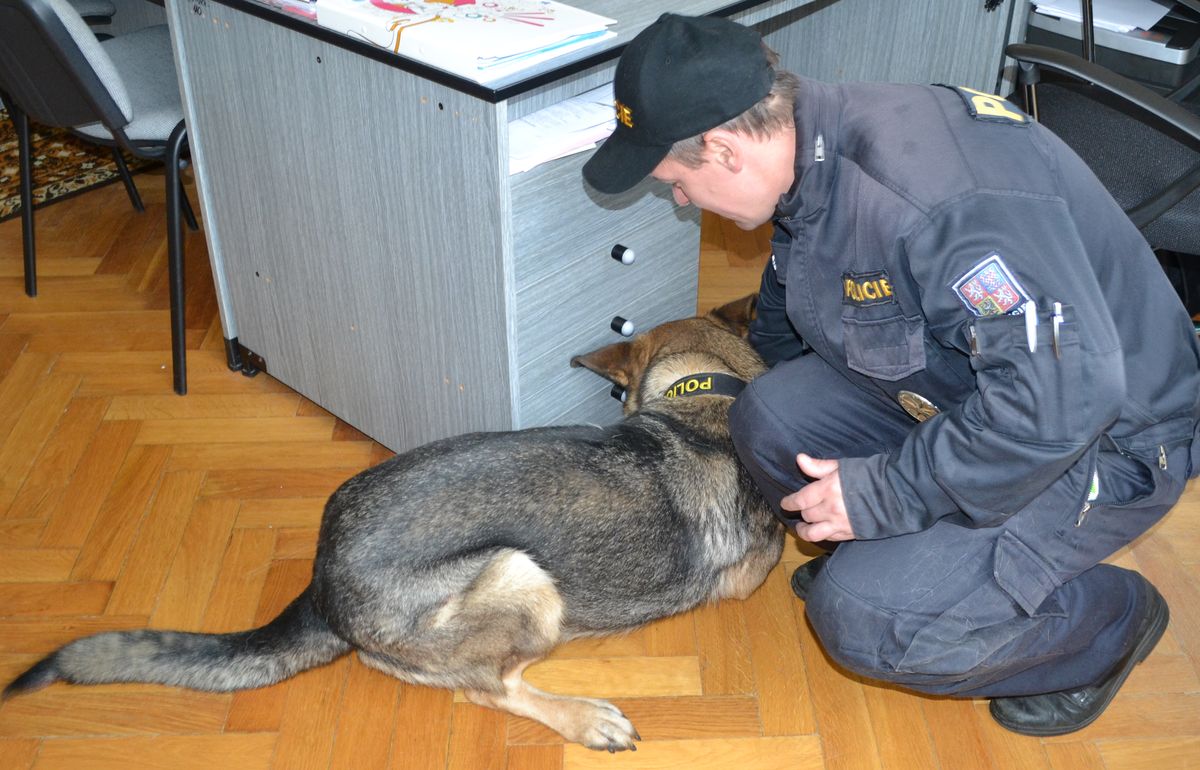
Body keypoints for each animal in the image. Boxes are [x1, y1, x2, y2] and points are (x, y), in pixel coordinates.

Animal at [2, 294, 783, 752]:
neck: (705, 392)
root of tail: (323, 581)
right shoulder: (751, 577)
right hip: (523, 575)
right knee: (489, 685)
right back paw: (587, 718)